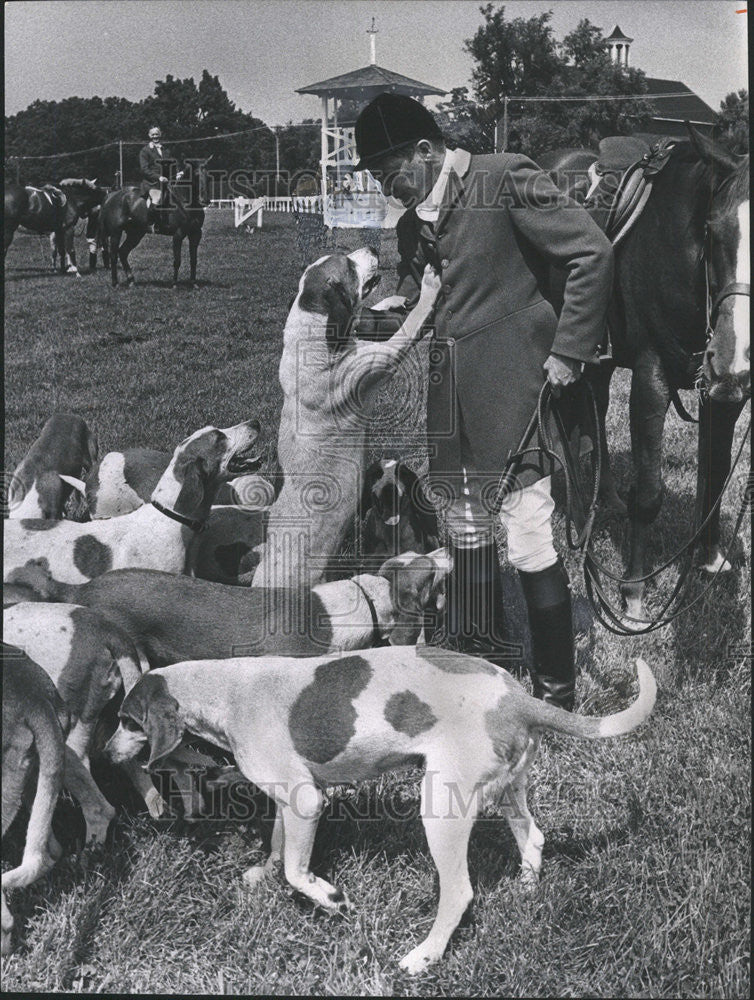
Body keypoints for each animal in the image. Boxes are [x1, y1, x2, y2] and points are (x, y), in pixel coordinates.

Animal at [98, 157, 212, 290]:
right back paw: (115, 283)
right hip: (116, 233)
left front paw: (194, 283)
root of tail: (111, 195)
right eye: (196, 175)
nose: (205, 201)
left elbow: (193, 260)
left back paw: (131, 280)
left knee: (123, 252)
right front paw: (174, 284)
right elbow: (177, 261)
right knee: (113, 255)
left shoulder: (195, 234)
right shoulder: (178, 235)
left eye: (209, 177)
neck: (185, 202)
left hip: (135, 234)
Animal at [540, 127, 748, 616]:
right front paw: (633, 593)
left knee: (594, 413)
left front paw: (710, 558)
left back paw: (608, 498)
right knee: (560, 426)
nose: (733, 358)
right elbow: (650, 493)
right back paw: (575, 514)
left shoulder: (725, 394)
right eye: (712, 230)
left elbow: (716, 472)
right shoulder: (652, 376)